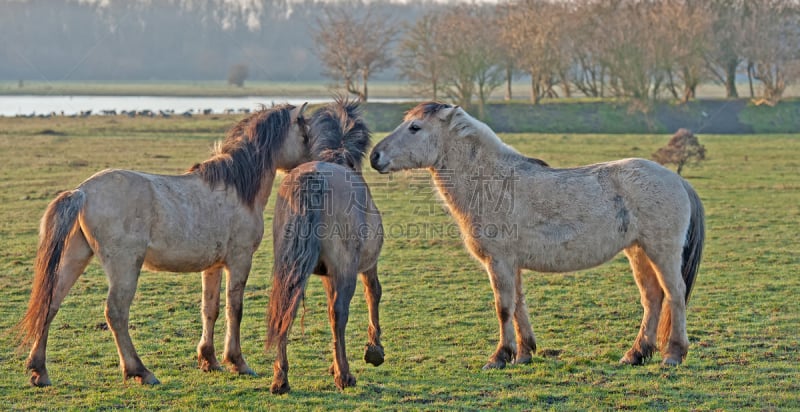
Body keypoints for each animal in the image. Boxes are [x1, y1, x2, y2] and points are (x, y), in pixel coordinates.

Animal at [266, 96, 384, 392]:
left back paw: (281, 378)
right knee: (339, 312)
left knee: (284, 310)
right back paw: (344, 375)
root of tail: (313, 178)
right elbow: (373, 294)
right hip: (345, 269)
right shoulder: (365, 266)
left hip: (288, 269)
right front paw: (374, 351)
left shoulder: (326, 274)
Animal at [372, 102, 704, 366]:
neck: (493, 183)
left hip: (661, 251)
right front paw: (524, 354)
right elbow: (518, 304)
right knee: (653, 298)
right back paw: (635, 354)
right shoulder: (511, 264)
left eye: (415, 127)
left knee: (675, 294)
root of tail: (676, 179)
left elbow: (504, 307)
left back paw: (673, 354)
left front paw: (500, 357)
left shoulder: (500, 262)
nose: (375, 155)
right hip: (638, 252)